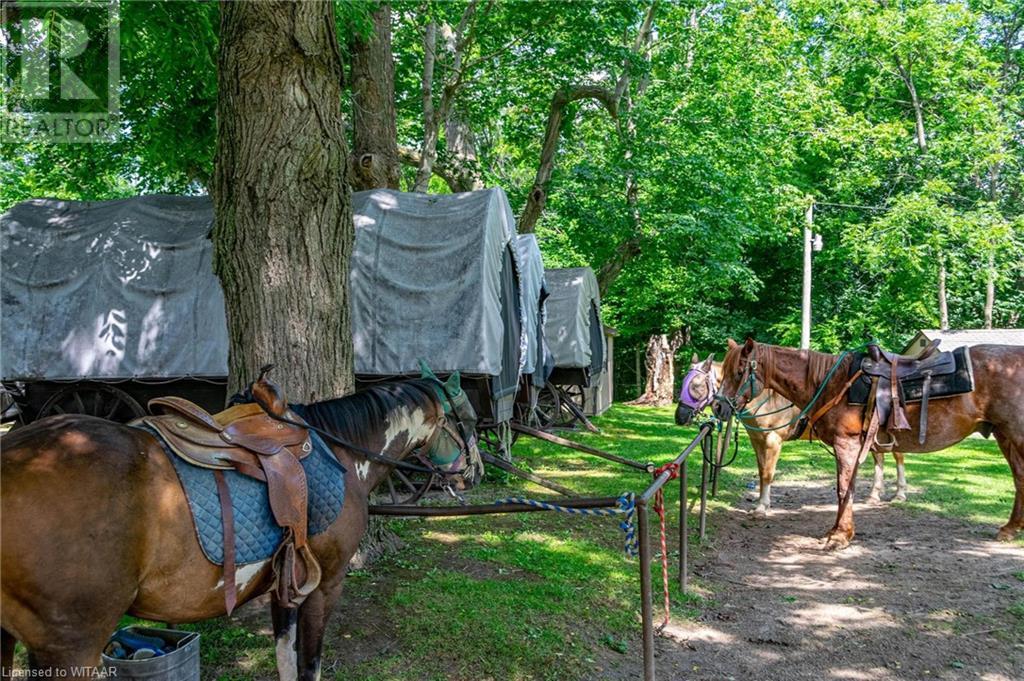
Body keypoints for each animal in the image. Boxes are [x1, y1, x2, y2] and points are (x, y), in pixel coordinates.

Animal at [1, 376, 479, 679]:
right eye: (470, 421)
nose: (472, 473)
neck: (342, 453)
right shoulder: (325, 583)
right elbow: (309, 664)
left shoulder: (286, 584)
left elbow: (285, 659)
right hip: (72, 646)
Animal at [675, 352, 909, 512]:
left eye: (696, 385)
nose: (680, 416)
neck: (765, 398)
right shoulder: (757, 440)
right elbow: (762, 471)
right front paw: (761, 502)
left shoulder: (773, 440)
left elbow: (768, 473)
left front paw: (762, 506)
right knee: (879, 458)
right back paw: (874, 495)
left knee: (897, 456)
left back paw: (900, 493)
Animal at [712, 337, 1024, 548]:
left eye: (739, 372)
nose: (718, 407)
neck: (830, 383)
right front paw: (838, 530)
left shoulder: (841, 444)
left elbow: (842, 488)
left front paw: (840, 535)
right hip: (1004, 435)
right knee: (1019, 478)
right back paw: (1010, 529)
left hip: (1014, 435)